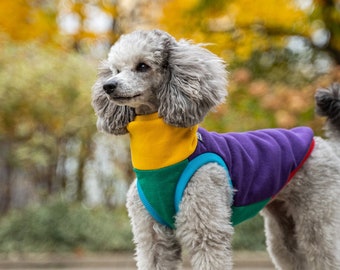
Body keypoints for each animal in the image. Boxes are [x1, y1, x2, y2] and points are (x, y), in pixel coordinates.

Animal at [91, 28, 340, 268]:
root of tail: (325, 144)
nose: (108, 86)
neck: (162, 154)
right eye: (115, 70)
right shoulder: (152, 237)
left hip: (317, 216)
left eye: (142, 66)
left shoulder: (205, 227)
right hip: (283, 227)